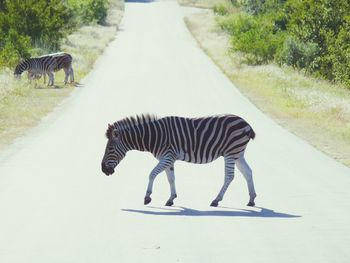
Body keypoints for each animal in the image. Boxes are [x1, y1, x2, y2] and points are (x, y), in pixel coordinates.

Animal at [101, 115, 258, 208]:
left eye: (109, 148)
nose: (103, 170)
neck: (154, 136)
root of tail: (247, 124)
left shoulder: (168, 156)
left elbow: (152, 174)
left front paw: (147, 197)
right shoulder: (169, 159)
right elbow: (171, 178)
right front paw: (171, 199)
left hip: (230, 153)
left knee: (230, 176)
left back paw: (216, 200)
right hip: (238, 153)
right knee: (248, 172)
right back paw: (251, 200)